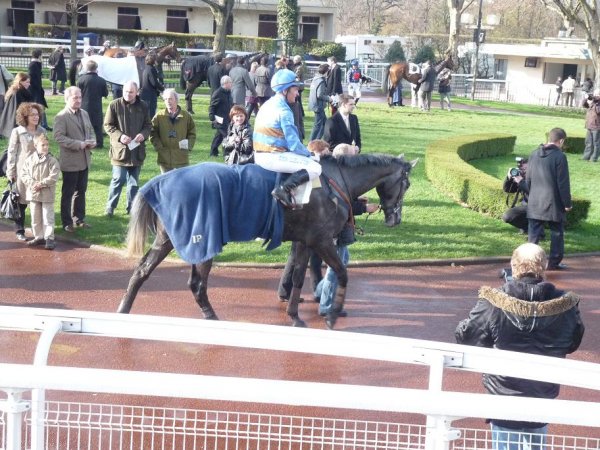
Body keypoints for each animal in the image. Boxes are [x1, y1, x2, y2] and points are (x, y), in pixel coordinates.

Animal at [119, 154, 414, 326]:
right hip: (202, 239)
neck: (332, 182)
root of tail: (161, 180)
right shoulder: (321, 240)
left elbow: (297, 277)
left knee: (144, 271)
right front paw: (331, 314)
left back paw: (124, 309)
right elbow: (341, 273)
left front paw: (294, 316)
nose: (396, 219)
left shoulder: (304, 240)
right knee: (196, 284)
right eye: (407, 184)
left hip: (170, 240)